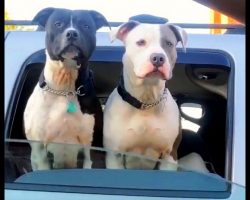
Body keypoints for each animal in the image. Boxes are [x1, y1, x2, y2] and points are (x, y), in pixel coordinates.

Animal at [23, 7, 108, 170]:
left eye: (85, 25)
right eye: (58, 24)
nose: (72, 33)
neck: (64, 86)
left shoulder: (90, 150)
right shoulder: (40, 152)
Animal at [103, 21, 188, 170]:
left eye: (169, 43)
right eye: (141, 42)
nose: (158, 58)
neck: (146, 100)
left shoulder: (169, 155)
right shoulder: (114, 155)